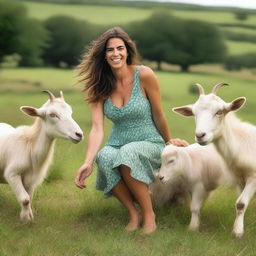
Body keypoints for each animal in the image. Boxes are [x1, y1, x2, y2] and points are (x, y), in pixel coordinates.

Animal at [0, 91, 83, 223]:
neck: (30, 145)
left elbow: (29, 198)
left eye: (71, 112)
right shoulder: (12, 174)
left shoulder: (31, 180)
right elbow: (25, 199)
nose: (79, 134)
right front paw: (24, 219)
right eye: (52, 115)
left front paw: (29, 217)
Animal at [172, 82, 256, 238]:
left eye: (219, 112)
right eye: (194, 113)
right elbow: (240, 202)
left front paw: (237, 232)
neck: (242, 142)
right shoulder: (240, 178)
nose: (200, 135)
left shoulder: (254, 177)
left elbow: (241, 203)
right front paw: (240, 226)